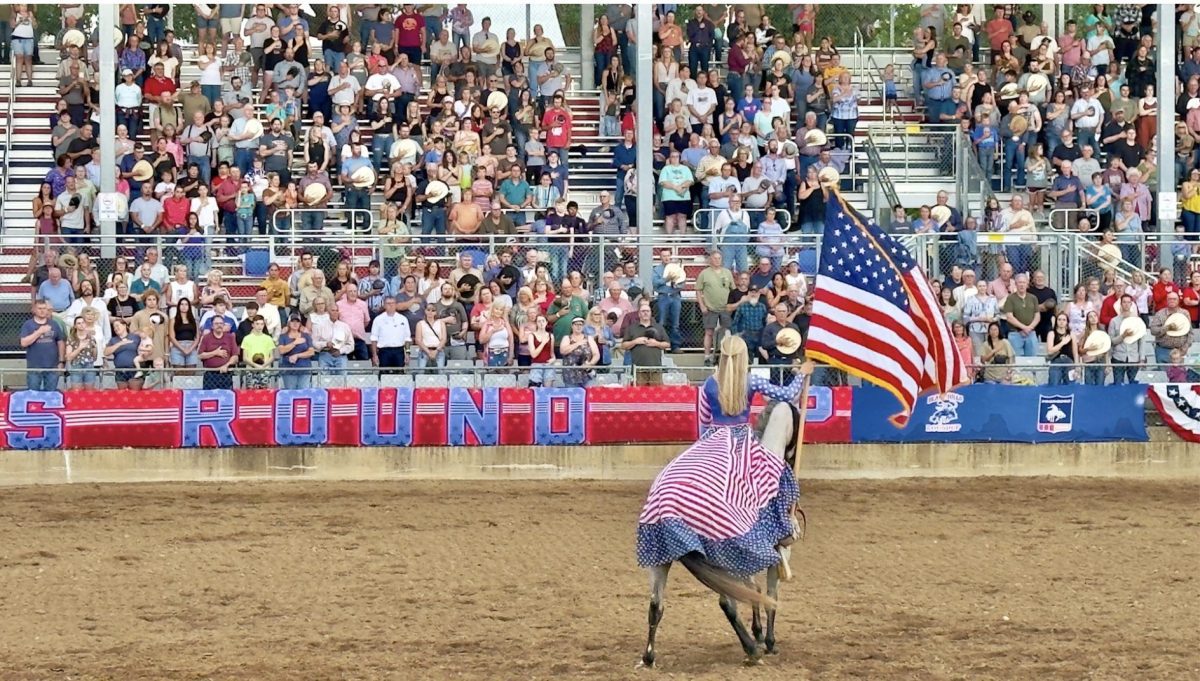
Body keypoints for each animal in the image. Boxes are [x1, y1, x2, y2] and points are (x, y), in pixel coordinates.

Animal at [643, 402, 801, 666]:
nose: (793, 456)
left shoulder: (745, 561)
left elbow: (754, 591)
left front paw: (759, 634)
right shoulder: (779, 553)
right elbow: (771, 596)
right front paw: (769, 642)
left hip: (660, 558)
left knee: (656, 604)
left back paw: (648, 657)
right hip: (719, 561)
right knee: (726, 601)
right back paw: (752, 651)